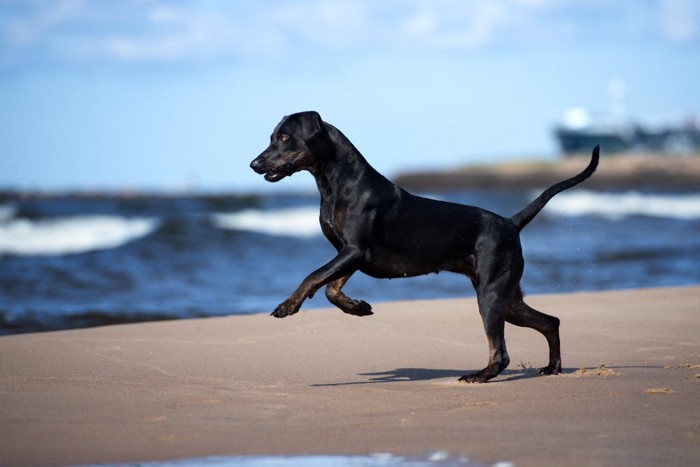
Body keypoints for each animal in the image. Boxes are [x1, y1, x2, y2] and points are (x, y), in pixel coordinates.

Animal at [249, 111, 600, 382]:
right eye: (272, 137)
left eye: (284, 137)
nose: (253, 164)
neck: (338, 182)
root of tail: (510, 222)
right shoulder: (350, 255)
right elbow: (330, 288)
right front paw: (358, 307)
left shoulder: (355, 251)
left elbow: (313, 277)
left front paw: (288, 305)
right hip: (507, 295)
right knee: (549, 321)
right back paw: (552, 368)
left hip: (490, 294)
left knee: (501, 351)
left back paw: (479, 376)